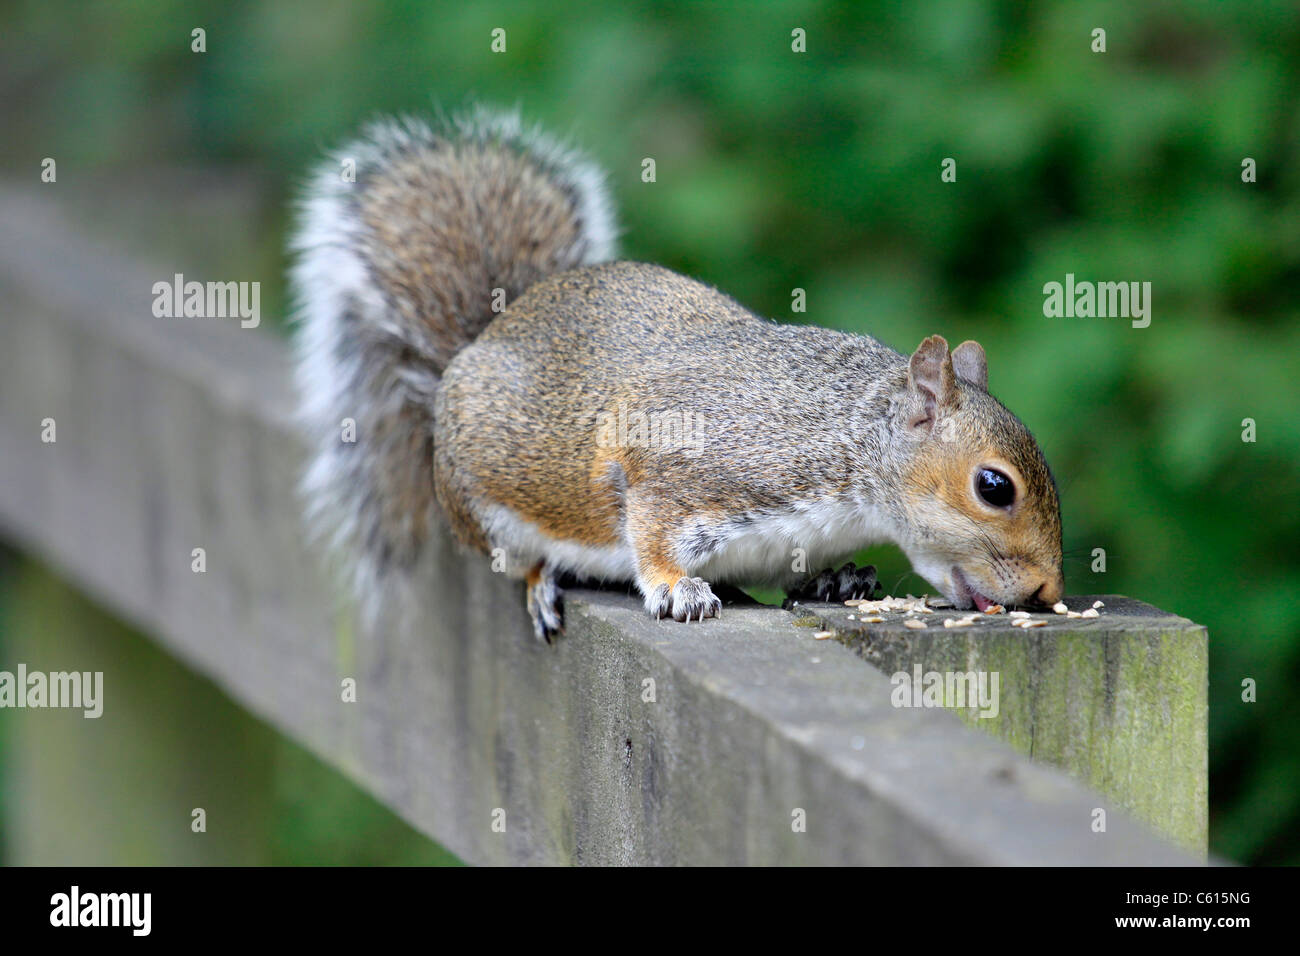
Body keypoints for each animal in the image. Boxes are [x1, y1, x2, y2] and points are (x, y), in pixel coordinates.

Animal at [295, 106, 1066, 642]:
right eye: (994, 487)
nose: (1046, 593)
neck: (848, 449)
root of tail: (478, 342)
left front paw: (838, 577)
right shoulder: (681, 466)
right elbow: (653, 532)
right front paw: (677, 589)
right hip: (485, 506)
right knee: (518, 556)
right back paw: (543, 581)